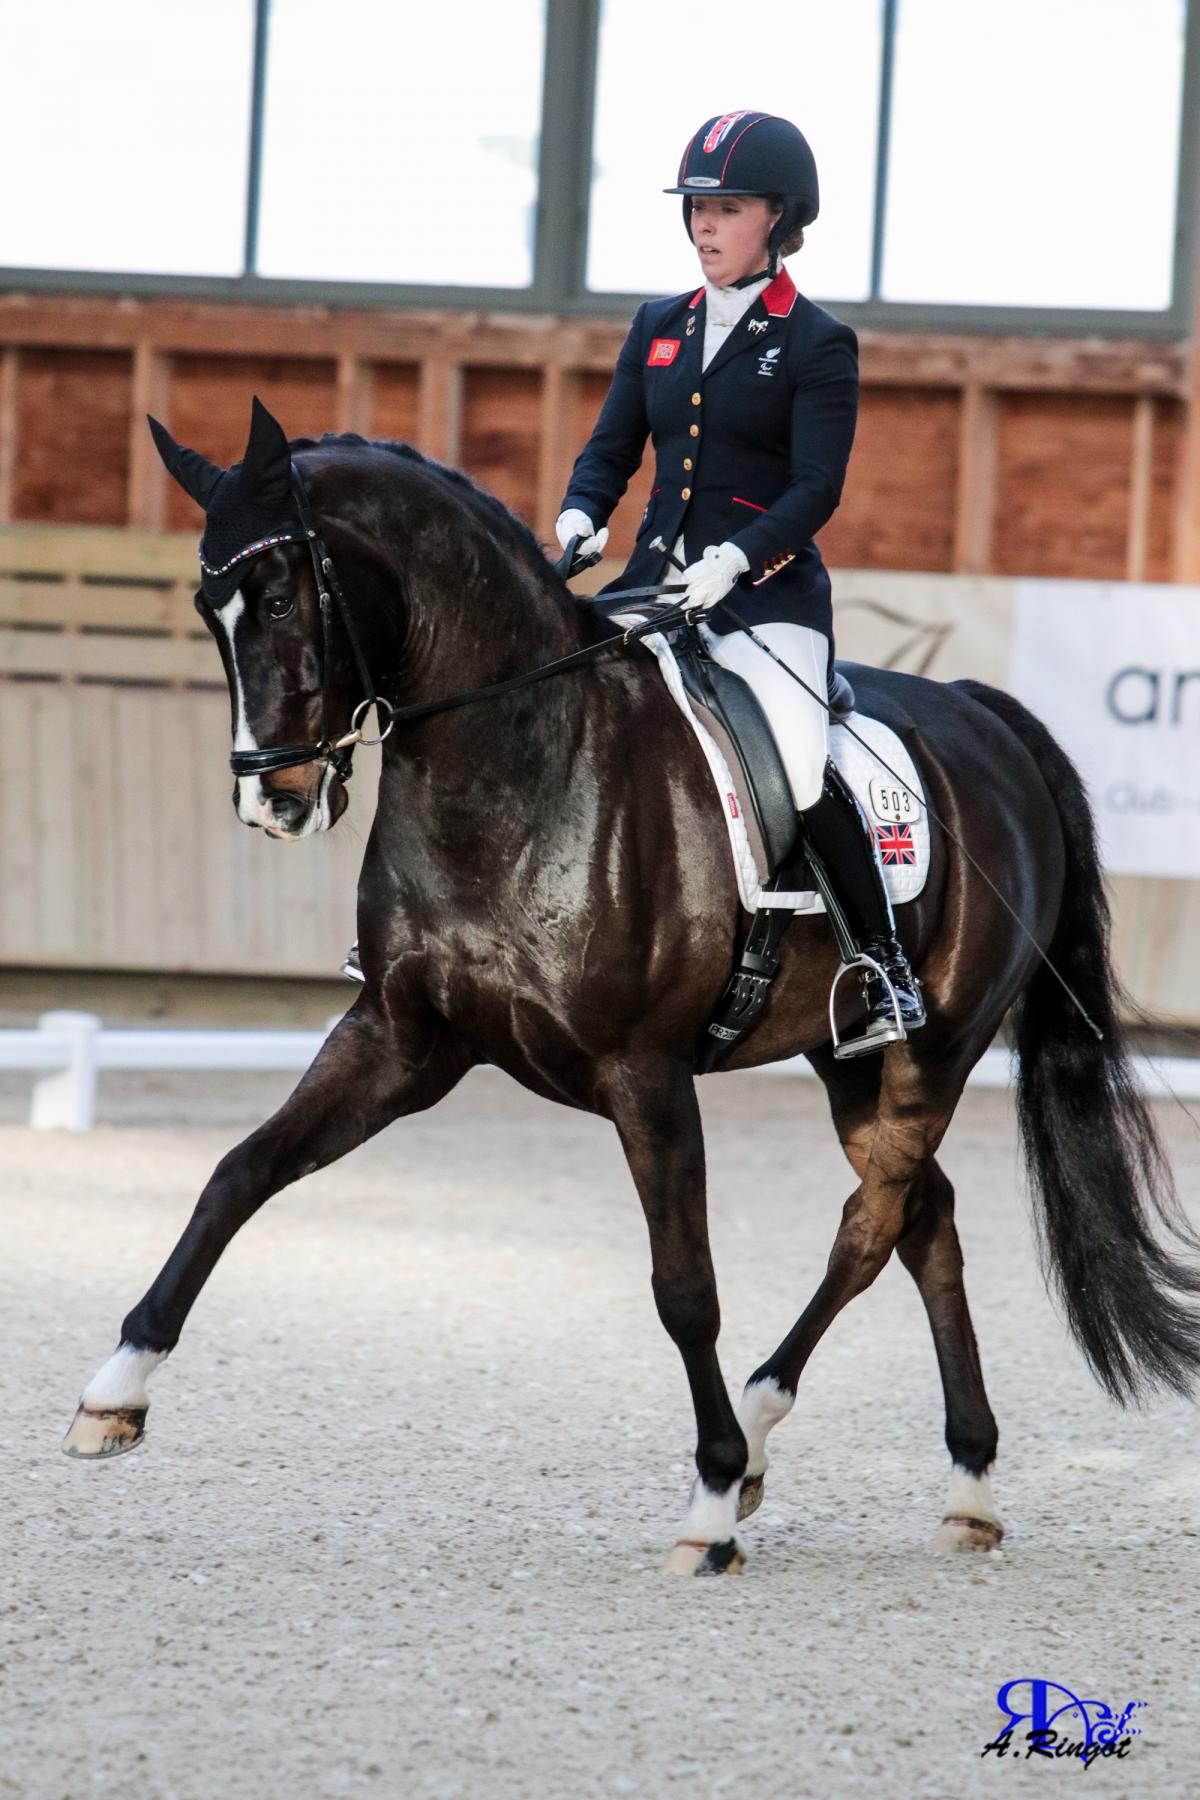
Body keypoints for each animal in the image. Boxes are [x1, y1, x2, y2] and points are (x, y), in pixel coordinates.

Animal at [65, 428, 1200, 1569]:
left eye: (283, 597)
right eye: (209, 606)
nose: (274, 799)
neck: (516, 766)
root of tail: (982, 714)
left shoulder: (644, 1072)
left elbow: (683, 1285)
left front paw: (710, 1499)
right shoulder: (400, 1039)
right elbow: (241, 1173)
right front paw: (114, 1392)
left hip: (940, 1045)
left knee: (873, 1219)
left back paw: (761, 1432)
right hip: (850, 1055)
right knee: (926, 1216)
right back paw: (968, 1486)